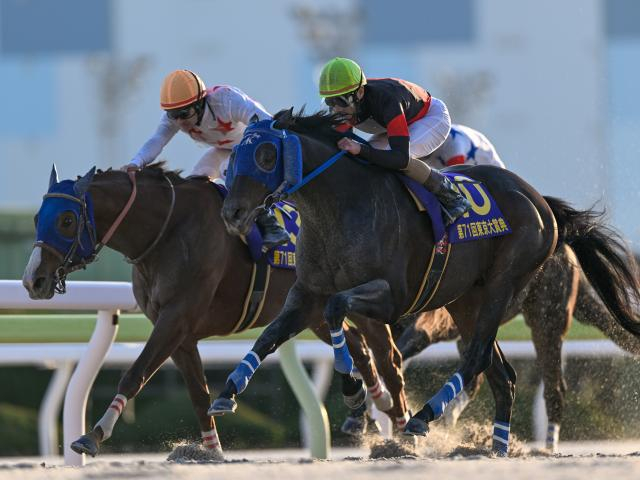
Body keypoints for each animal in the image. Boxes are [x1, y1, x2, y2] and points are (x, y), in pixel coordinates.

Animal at [21, 163, 408, 457]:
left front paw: (93, 435)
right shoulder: (181, 332)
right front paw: (212, 451)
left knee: (388, 356)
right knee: (359, 348)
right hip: (312, 313)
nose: (32, 280)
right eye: (38, 217)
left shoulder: (176, 317)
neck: (167, 232)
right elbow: (197, 394)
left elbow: (135, 374)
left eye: (67, 220)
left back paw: (402, 428)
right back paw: (371, 409)